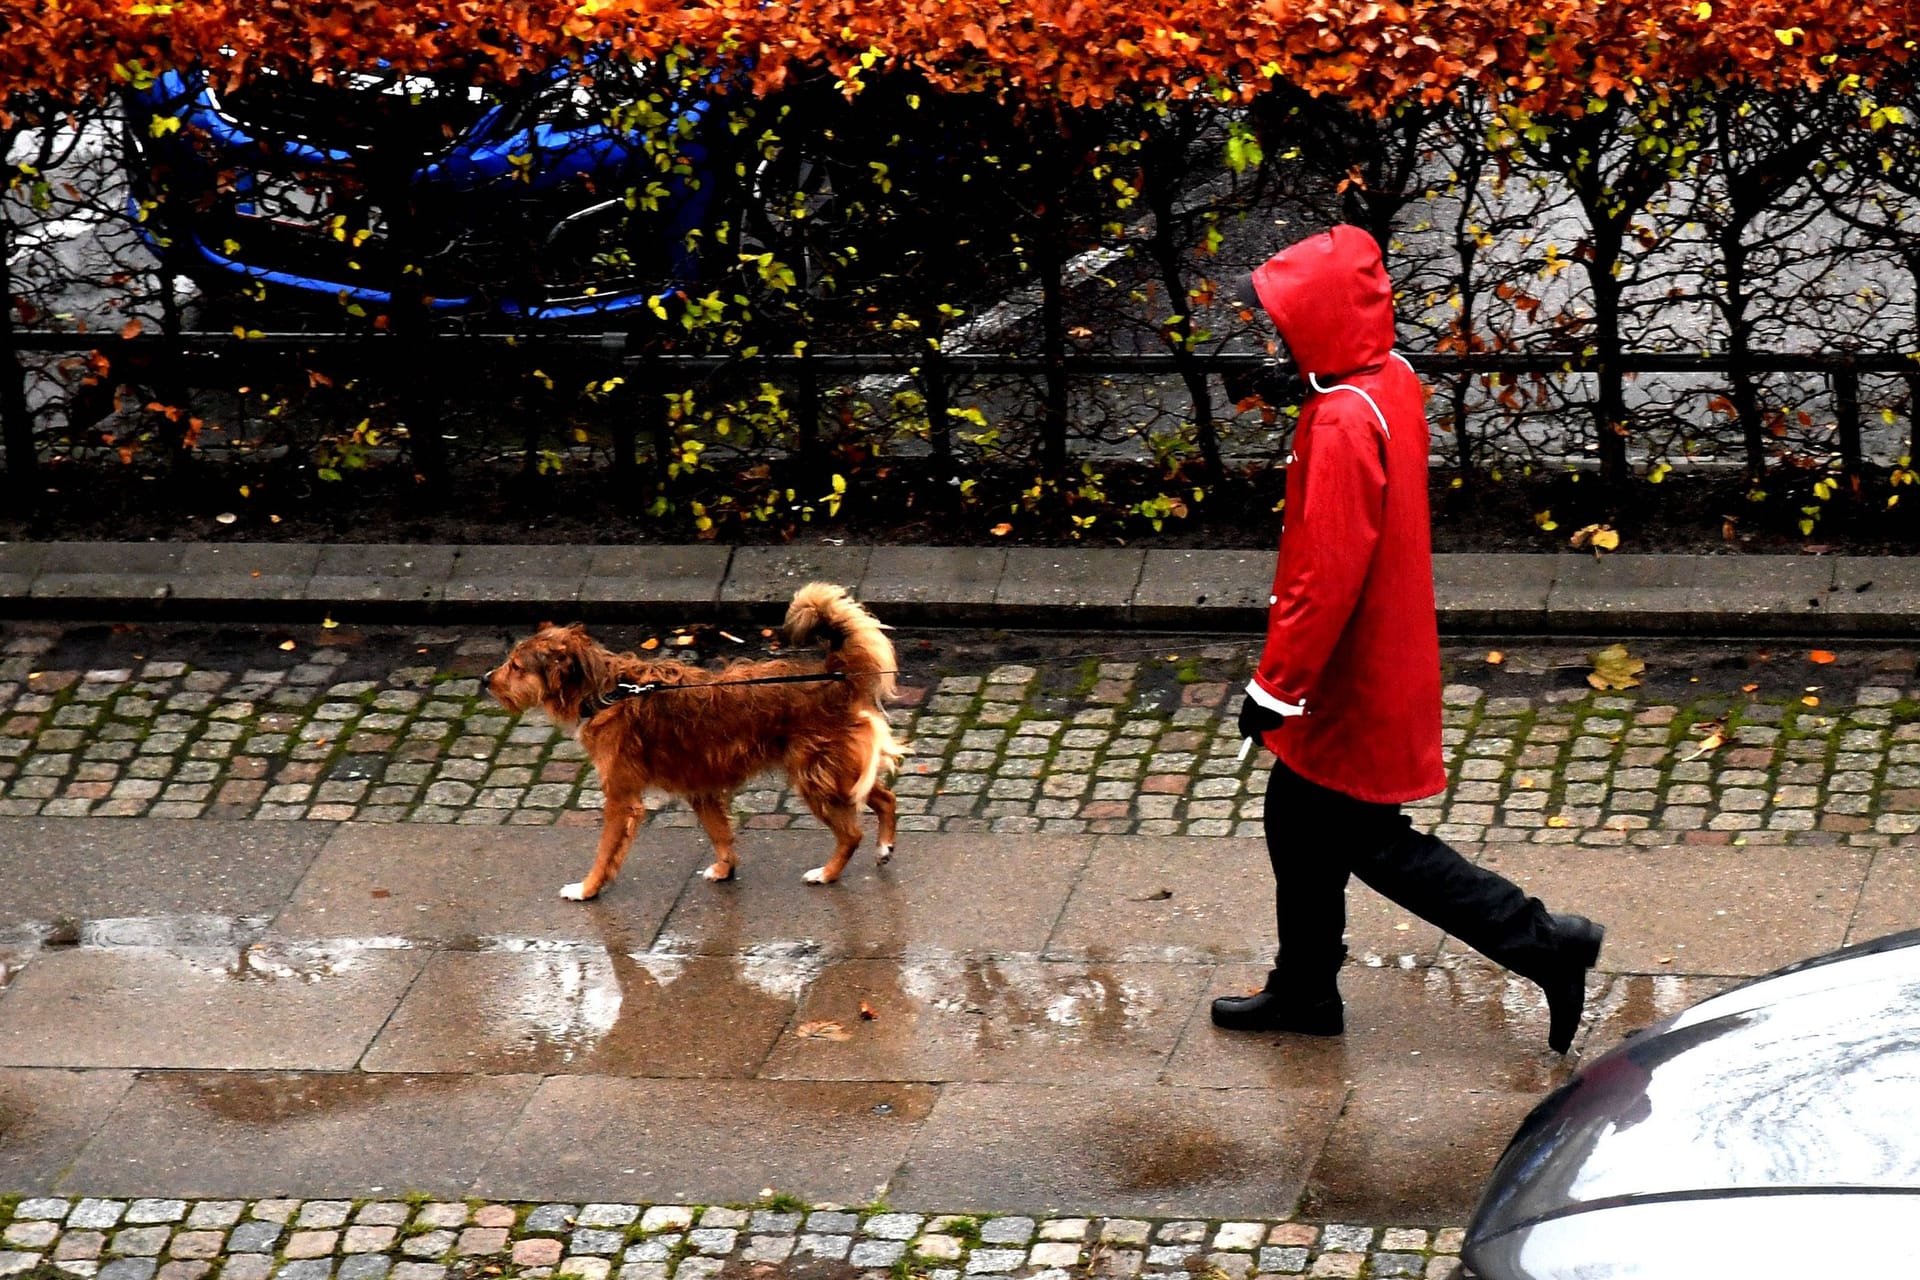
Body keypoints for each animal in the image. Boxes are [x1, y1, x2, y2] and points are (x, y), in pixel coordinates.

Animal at [480, 583, 898, 901]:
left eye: (516, 666)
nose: (484, 680)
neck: (606, 692)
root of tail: (836, 675)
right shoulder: (701, 789)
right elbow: (721, 835)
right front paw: (726, 869)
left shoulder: (621, 798)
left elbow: (604, 851)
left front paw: (587, 889)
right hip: (838, 774)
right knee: (885, 798)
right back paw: (884, 847)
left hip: (815, 777)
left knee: (852, 833)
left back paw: (827, 873)